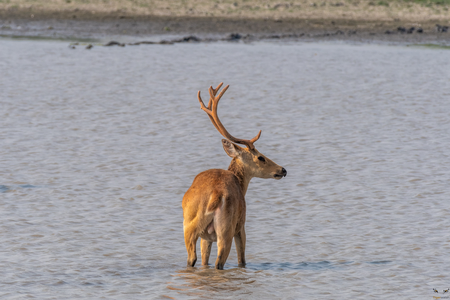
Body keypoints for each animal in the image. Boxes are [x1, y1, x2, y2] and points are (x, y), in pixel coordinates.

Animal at [181, 82, 286, 270]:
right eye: (261, 157)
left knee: (192, 259)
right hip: (227, 229)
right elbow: (242, 259)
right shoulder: (241, 226)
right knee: (219, 262)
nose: (282, 169)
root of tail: (215, 195)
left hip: (189, 226)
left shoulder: (206, 237)